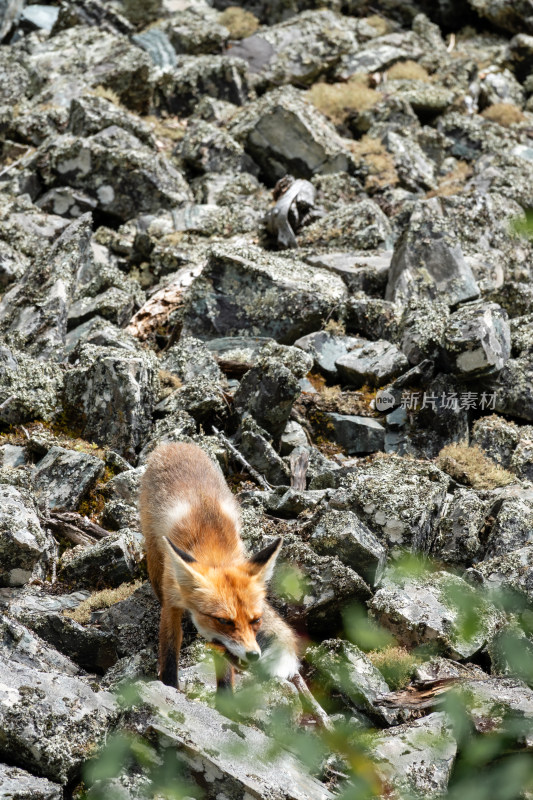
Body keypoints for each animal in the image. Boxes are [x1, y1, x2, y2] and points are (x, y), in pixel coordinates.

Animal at [138, 440, 300, 692]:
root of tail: (175, 444)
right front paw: (169, 688)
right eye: (224, 621)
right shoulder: (172, 601)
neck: (214, 553)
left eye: (256, 620)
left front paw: (227, 699)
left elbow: (224, 667)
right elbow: (169, 651)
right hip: (154, 558)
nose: (253, 655)